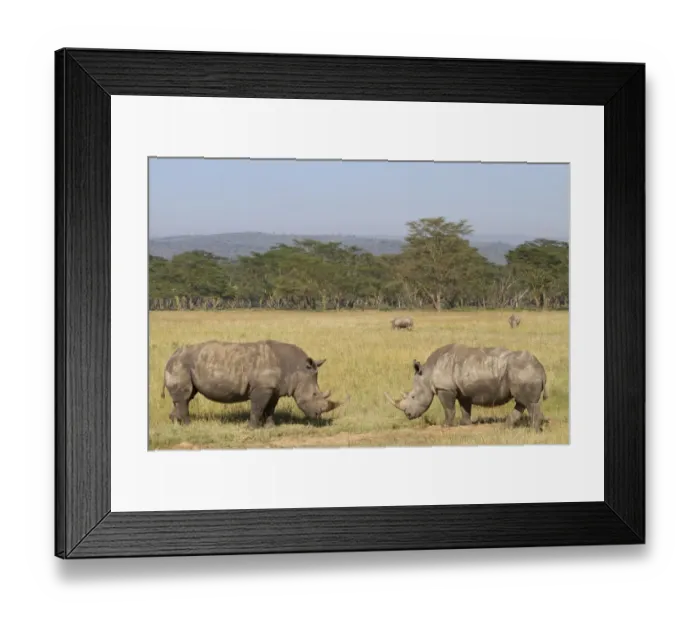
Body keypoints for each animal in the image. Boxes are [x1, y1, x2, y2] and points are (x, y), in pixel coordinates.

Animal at [161, 339, 348, 428]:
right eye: (314, 395)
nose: (318, 417)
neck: (296, 368)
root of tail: (171, 356)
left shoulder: (274, 389)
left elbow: (270, 408)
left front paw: (271, 427)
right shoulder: (262, 388)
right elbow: (257, 407)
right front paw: (252, 427)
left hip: (184, 365)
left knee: (186, 396)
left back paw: (176, 423)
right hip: (181, 364)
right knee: (185, 397)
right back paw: (188, 425)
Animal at [384, 344, 549, 432]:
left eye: (413, 396)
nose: (408, 415)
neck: (428, 373)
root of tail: (541, 368)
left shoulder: (445, 389)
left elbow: (448, 408)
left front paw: (446, 426)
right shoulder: (463, 390)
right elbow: (465, 407)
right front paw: (465, 424)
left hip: (524, 371)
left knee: (529, 403)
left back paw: (532, 431)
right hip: (523, 372)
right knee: (521, 401)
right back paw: (505, 427)